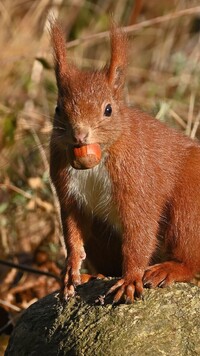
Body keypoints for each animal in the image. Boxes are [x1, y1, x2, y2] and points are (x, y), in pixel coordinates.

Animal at [49, 23, 200, 304]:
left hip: (189, 205)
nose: (80, 135)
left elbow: (139, 232)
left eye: (108, 109)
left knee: (190, 256)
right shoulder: (68, 193)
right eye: (58, 109)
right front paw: (71, 269)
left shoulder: (137, 181)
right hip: (101, 236)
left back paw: (169, 269)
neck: (98, 159)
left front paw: (130, 280)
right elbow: (72, 231)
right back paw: (93, 275)